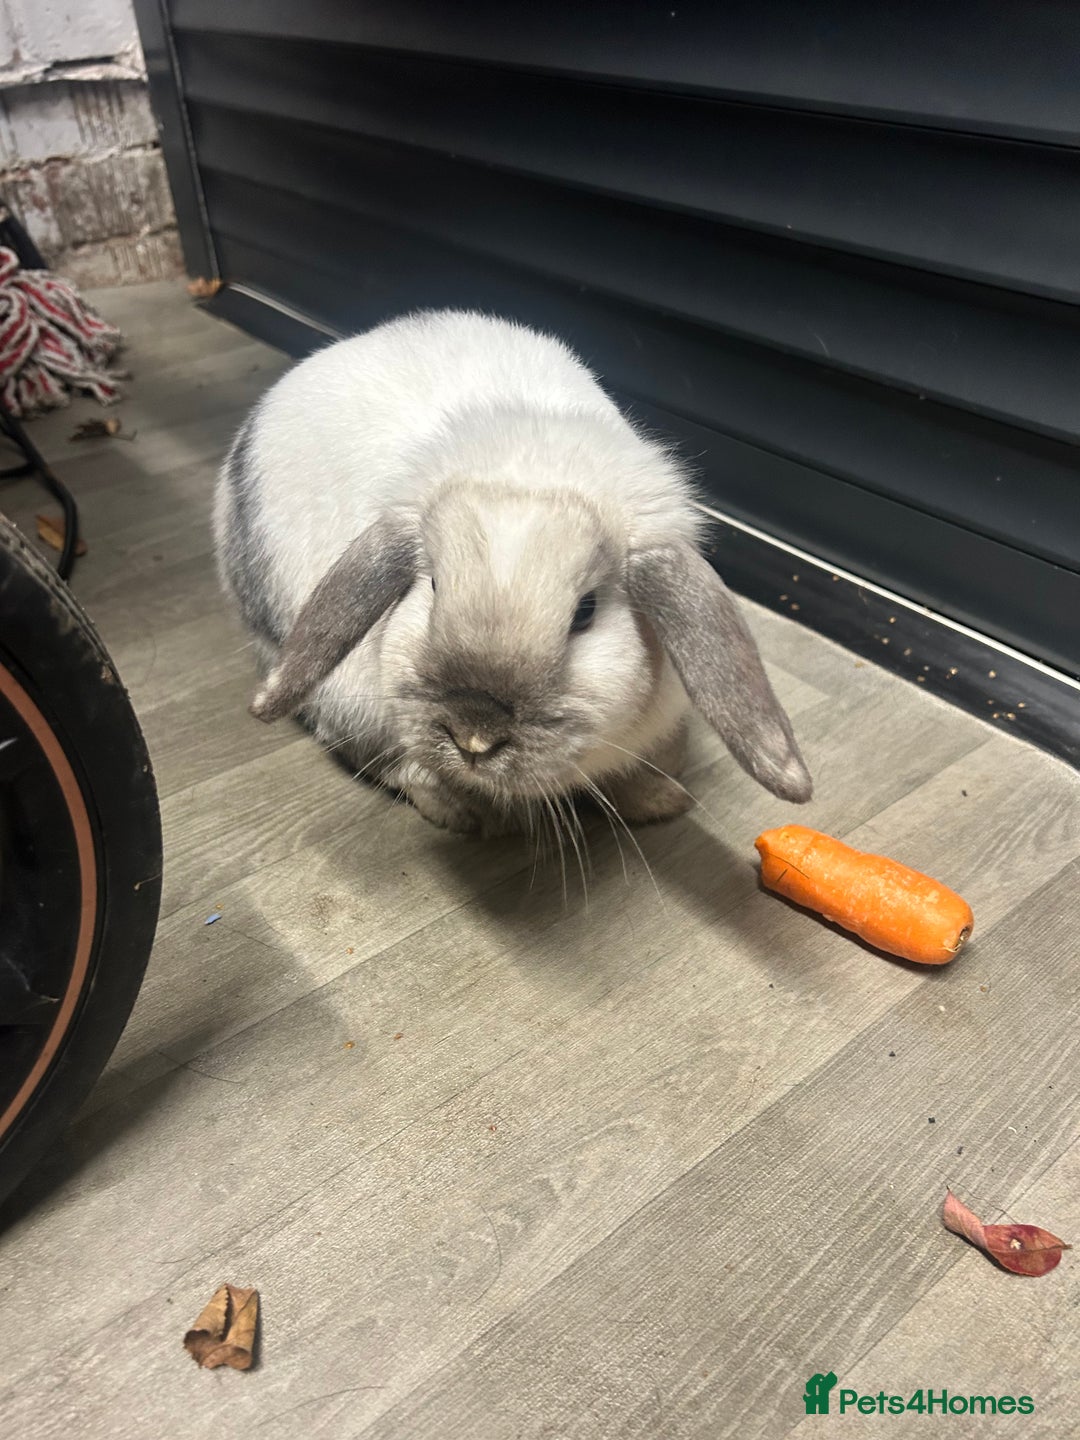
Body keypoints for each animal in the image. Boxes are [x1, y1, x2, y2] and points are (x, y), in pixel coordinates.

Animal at [214, 309, 812, 836]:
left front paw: (665, 800)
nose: (474, 736)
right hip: (344, 699)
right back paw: (466, 815)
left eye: (586, 614)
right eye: (432, 587)